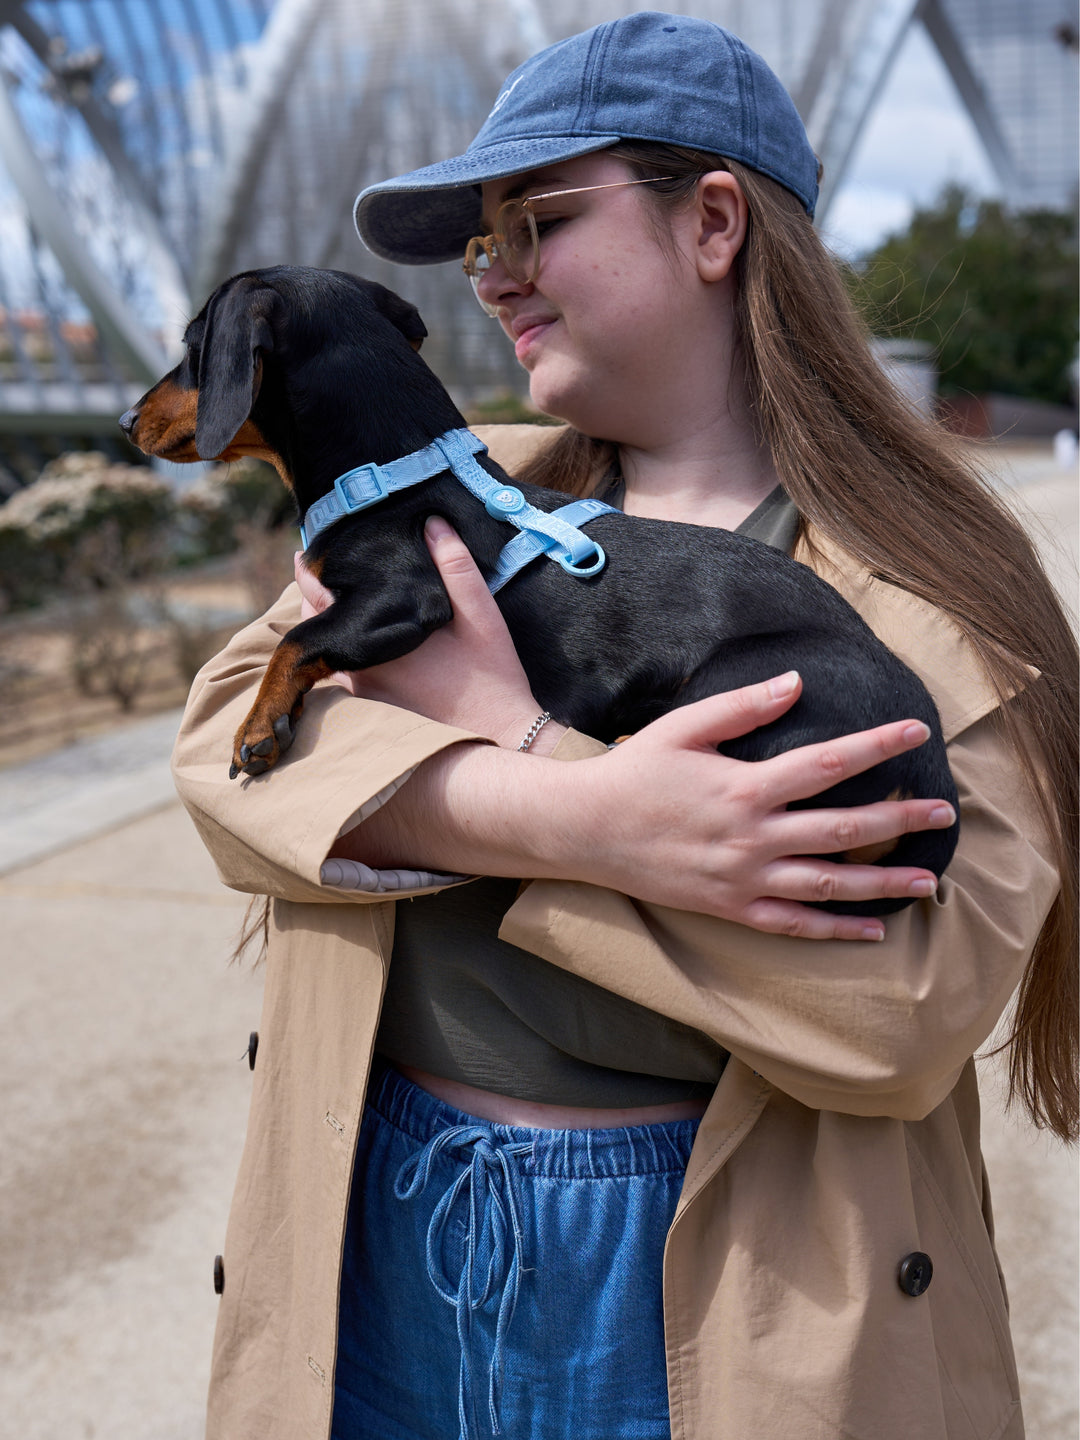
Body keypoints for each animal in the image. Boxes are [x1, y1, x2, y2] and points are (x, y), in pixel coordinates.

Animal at [122, 266, 961, 915]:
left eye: (193, 347)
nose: (127, 418)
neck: (394, 474)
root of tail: (930, 768)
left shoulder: (406, 596)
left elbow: (298, 639)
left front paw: (258, 728)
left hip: (743, 682)